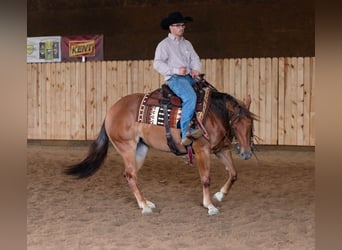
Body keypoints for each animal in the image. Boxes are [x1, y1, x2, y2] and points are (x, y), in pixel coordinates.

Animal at [65, 77, 256, 215]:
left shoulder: (221, 149)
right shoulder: (202, 150)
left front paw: (220, 195)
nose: (246, 154)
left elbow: (233, 173)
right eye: (236, 123)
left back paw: (145, 202)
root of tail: (111, 110)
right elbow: (206, 179)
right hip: (126, 147)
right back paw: (144, 206)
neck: (213, 114)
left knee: (131, 175)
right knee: (130, 174)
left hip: (140, 149)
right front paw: (209, 205)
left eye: (250, 124)